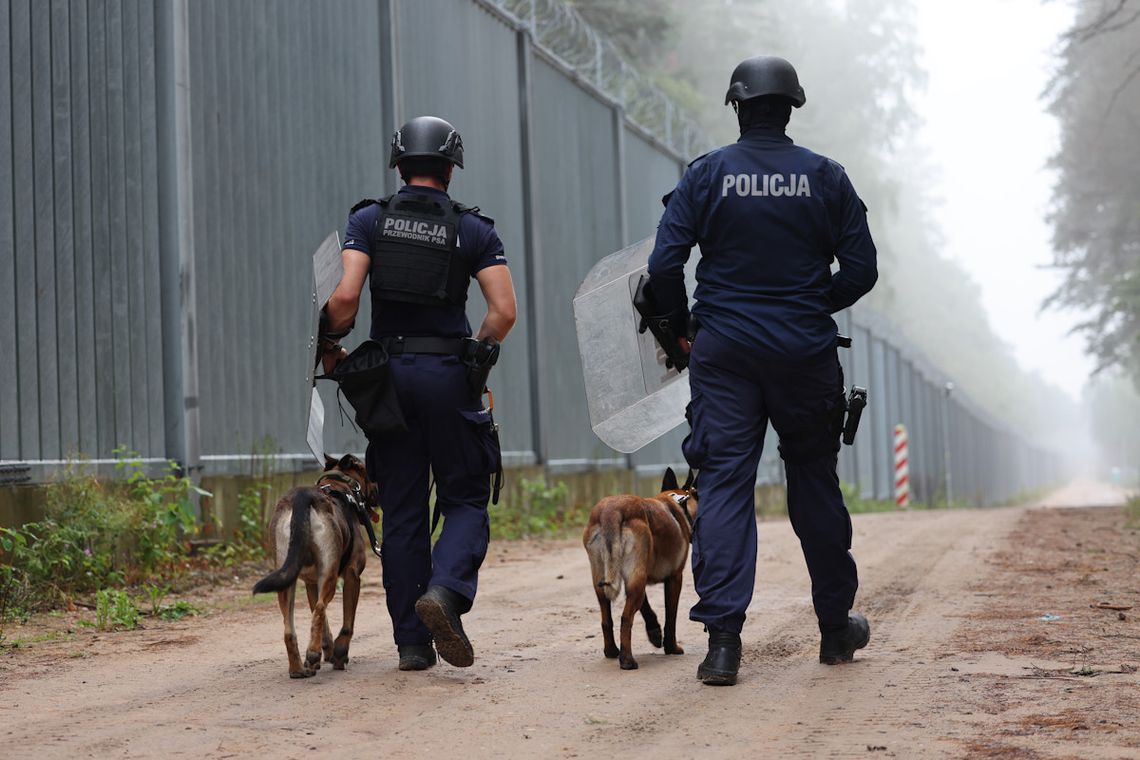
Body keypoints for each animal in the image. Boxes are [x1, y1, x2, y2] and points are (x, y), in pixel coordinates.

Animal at [253, 455, 378, 679]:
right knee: (320, 608)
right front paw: (339, 653)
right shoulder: (352, 575)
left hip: (287, 578)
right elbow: (346, 623)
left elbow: (320, 619)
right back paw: (312, 654)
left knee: (290, 628)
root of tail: (302, 497)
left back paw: (298, 668)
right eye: (367, 472)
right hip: (328, 574)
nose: (379, 489)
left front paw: (326, 650)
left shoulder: (311, 583)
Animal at [583, 467, 697, 669]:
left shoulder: (638, 577)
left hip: (606, 582)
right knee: (626, 618)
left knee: (607, 619)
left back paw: (612, 651)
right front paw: (671, 646)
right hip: (636, 579)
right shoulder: (675, 578)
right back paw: (627, 660)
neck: (673, 500)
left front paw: (654, 632)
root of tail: (611, 511)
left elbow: (646, 606)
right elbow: (671, 615)